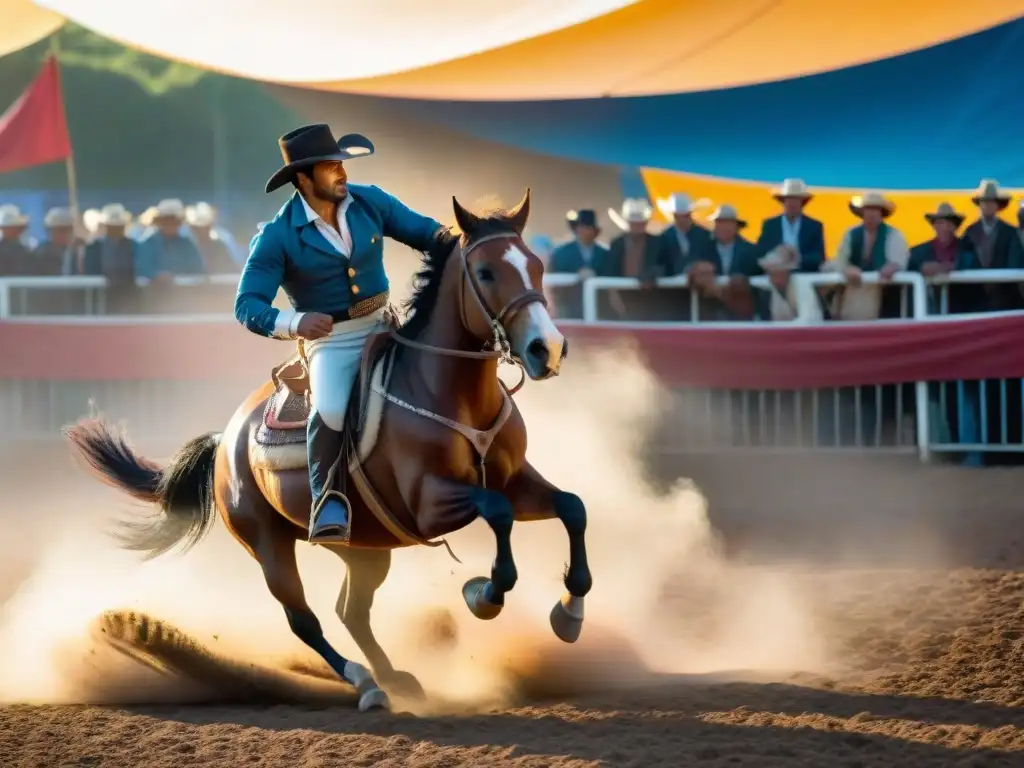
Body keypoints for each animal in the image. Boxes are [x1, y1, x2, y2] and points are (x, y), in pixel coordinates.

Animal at [64, 189, 593, 712]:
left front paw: (569, 614)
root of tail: (226, 438)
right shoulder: (431, 506)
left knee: (351, 611)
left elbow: (572, 507)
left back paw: (394, 678)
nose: (547, 350)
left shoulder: (517, 480)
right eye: (485, 273)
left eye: (536, 265)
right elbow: (497, 512)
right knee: (305, 620)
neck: (451, 394)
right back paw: (365, 683)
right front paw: (483, 594)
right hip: (268, 544)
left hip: (363, 547)